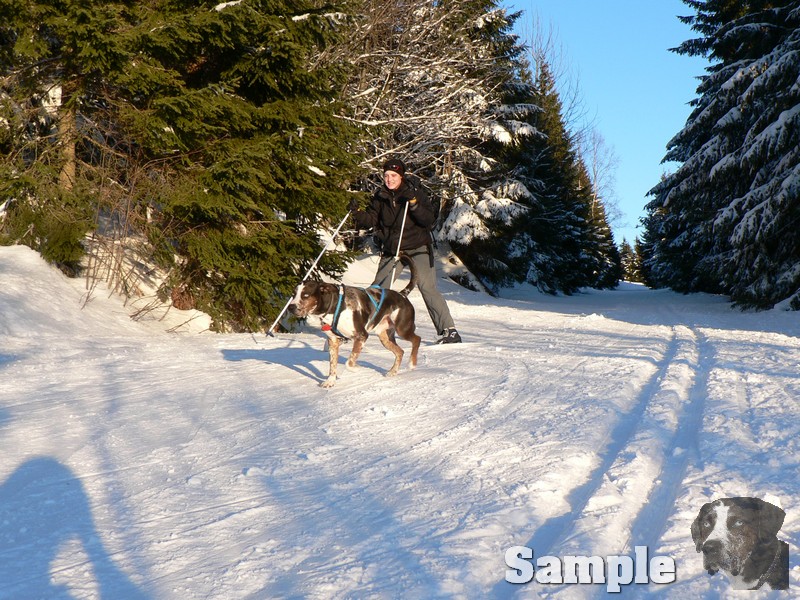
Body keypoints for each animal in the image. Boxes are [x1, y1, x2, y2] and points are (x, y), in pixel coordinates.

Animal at [290, 253, 424, 390]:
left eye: (306, 295)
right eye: (293, 294)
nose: (290, 307)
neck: (335, 307)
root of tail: (402, 295)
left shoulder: (361, 336)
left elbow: (349, 362)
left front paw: (356, 368)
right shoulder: (333, 341)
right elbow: (332, 366)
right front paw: (330, 381)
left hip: (402, 329)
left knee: (417, 339)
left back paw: (412, 363)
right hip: (385, 337)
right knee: (400, 352)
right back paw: (393, 371)